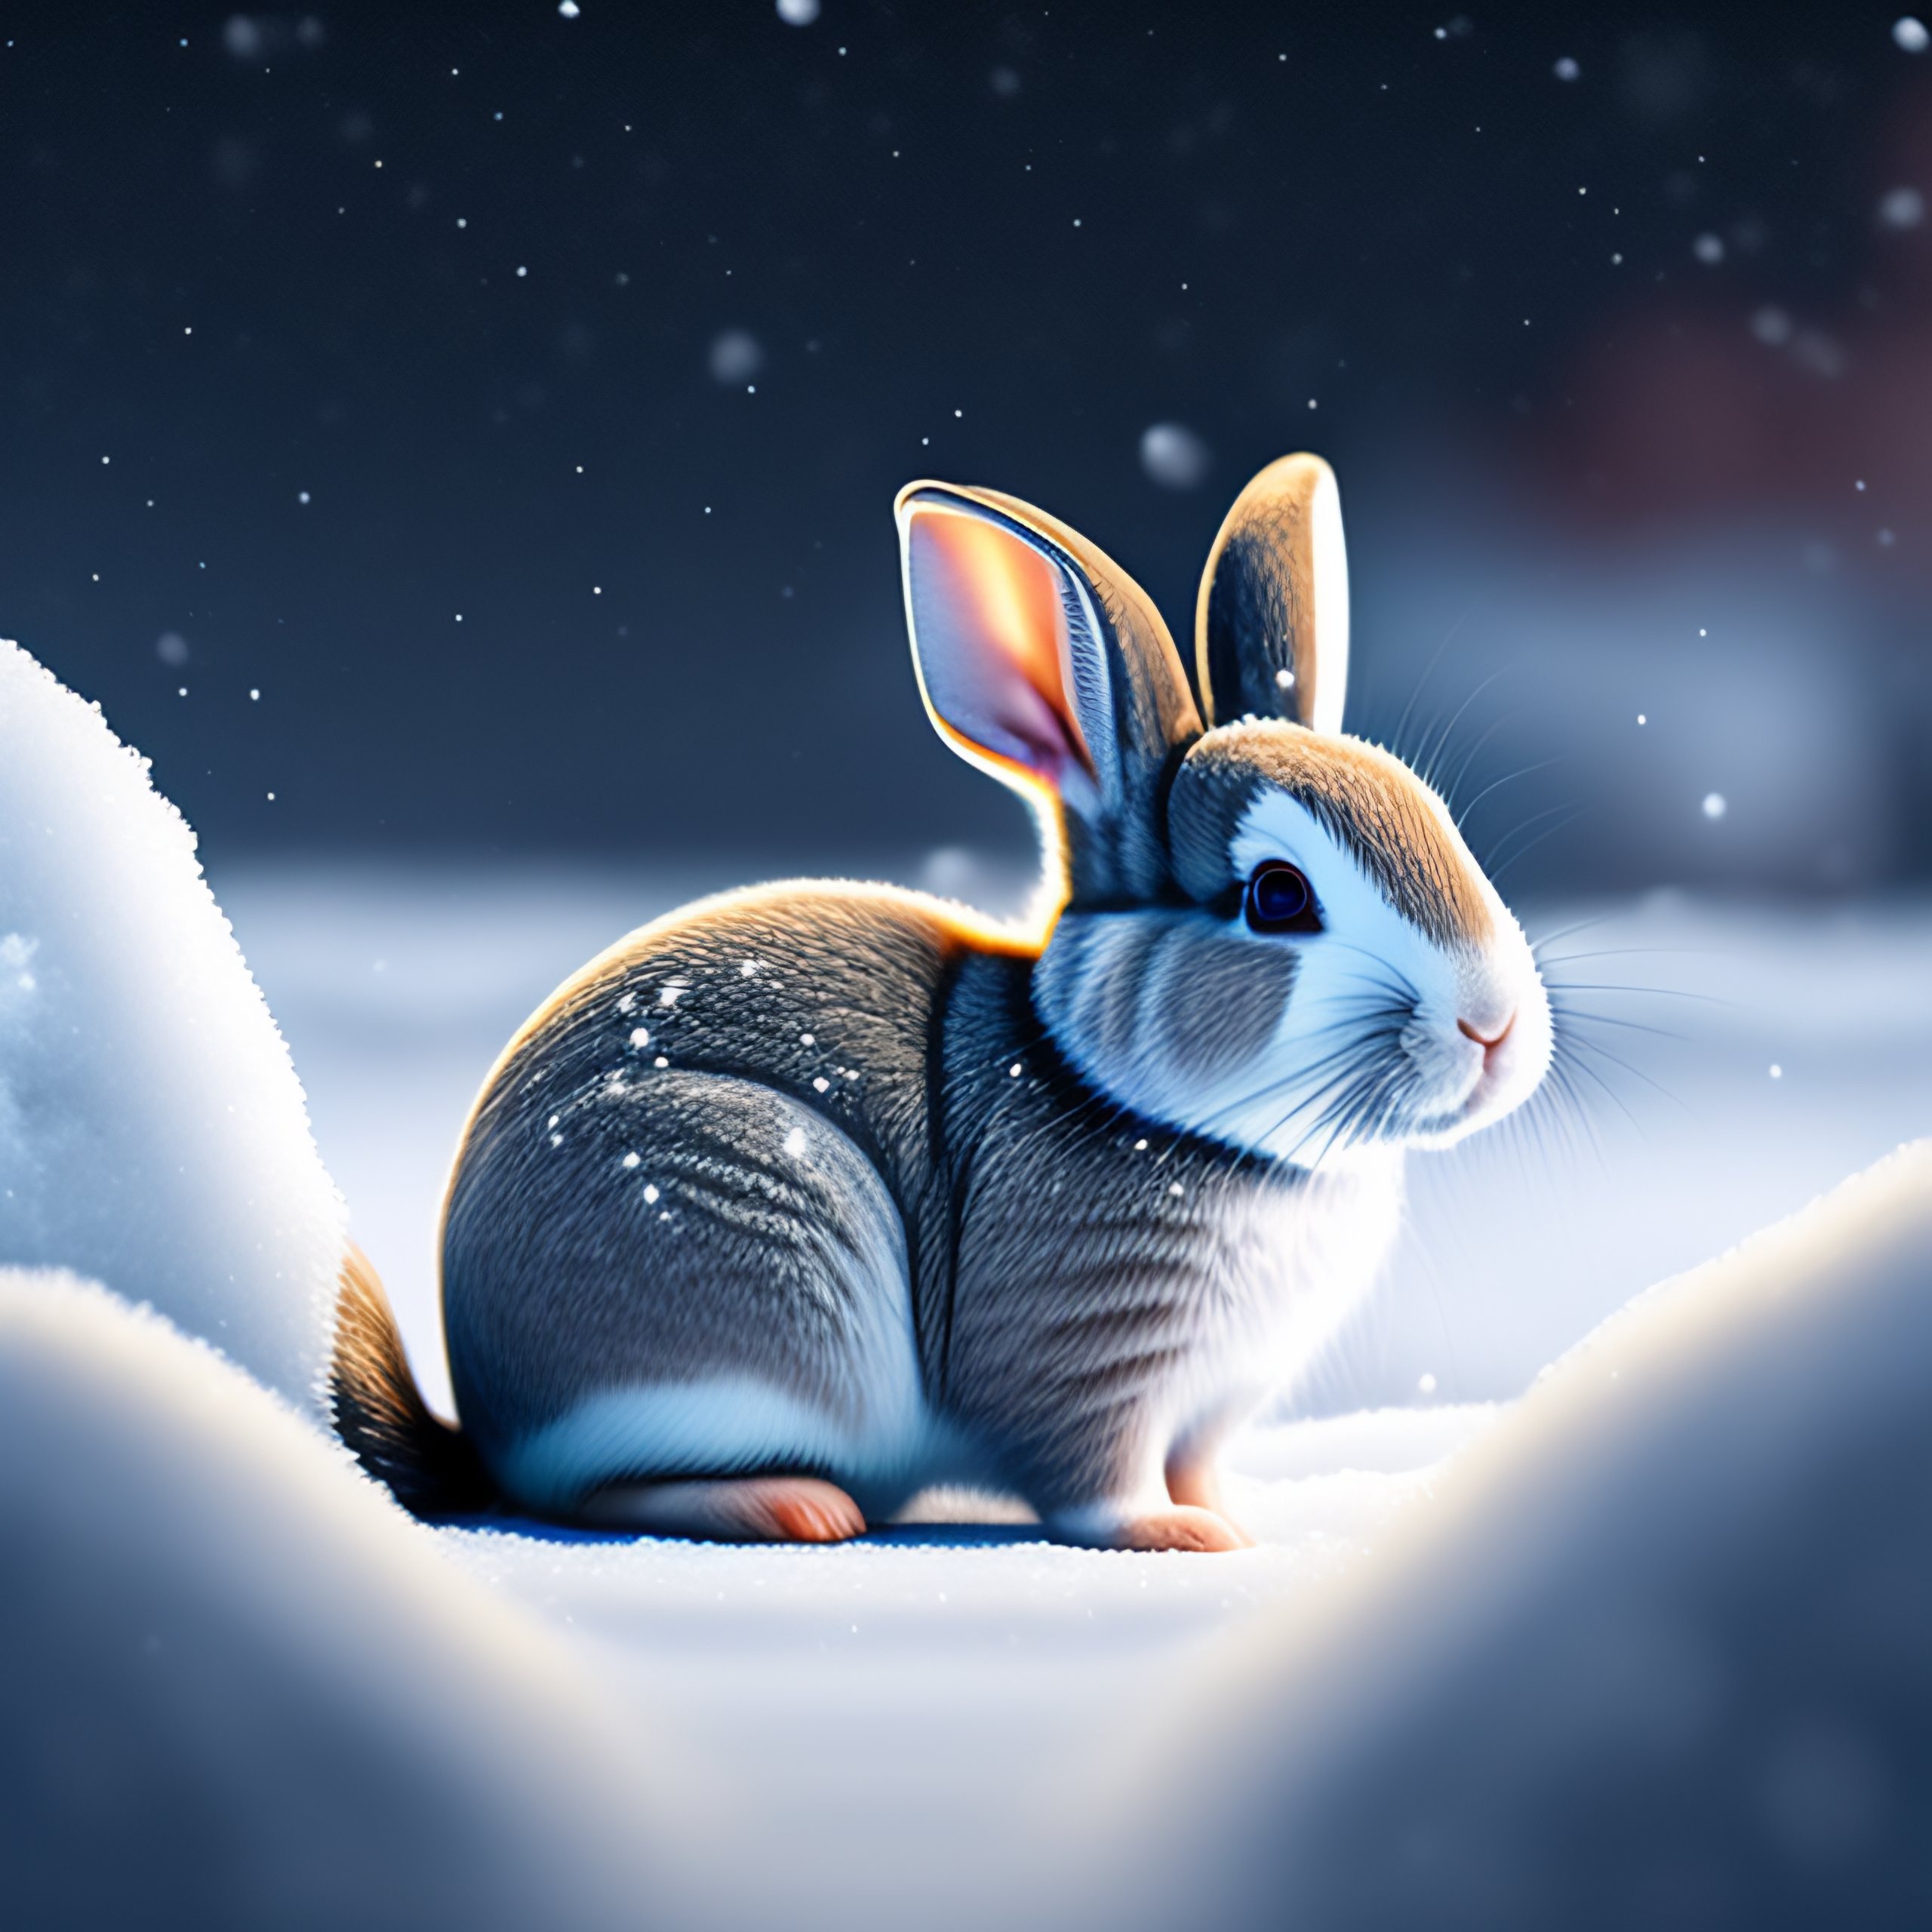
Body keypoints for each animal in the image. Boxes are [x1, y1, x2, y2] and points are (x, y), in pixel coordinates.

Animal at [331, 452, 1551, 1551]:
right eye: (1278, 896)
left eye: (1433, 815)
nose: (1493, 1028)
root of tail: (482, 1409)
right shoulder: (1084, 1362)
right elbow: (1095, 1481)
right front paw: (1182, 1536)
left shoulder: (1213, 1403)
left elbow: (1201, 1462)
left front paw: (1234, 1514)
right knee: (588, 1495)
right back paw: (791, 1506)